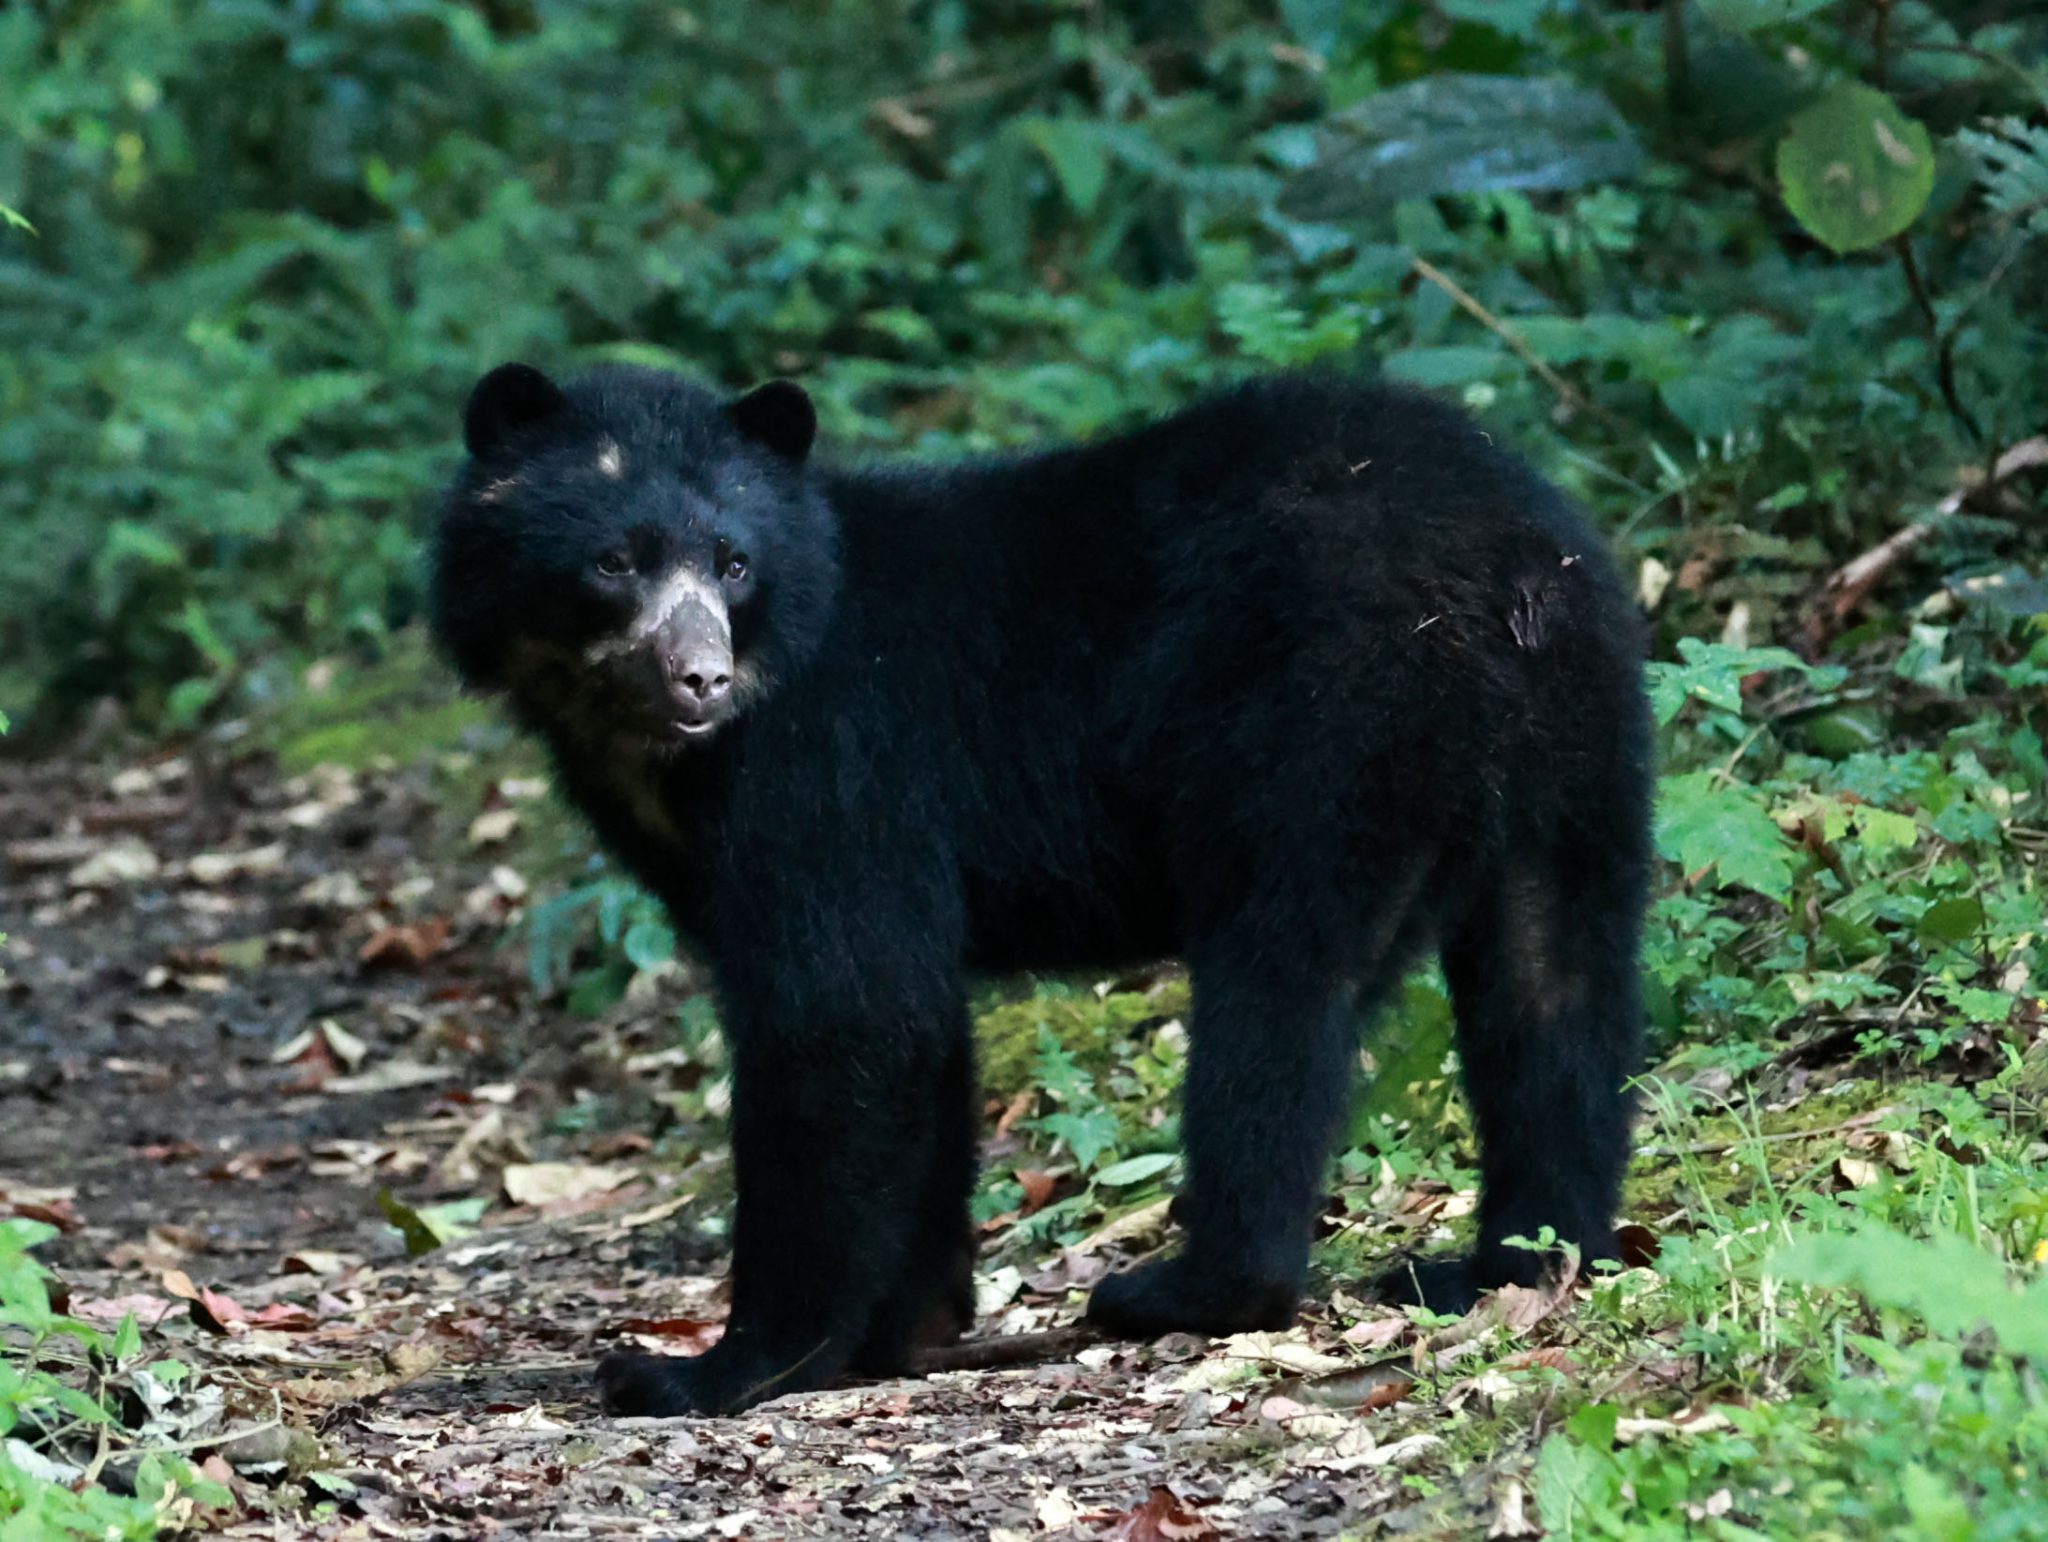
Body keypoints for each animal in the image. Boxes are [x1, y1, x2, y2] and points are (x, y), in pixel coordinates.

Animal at [432, 360, 1646, 1417]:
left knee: (1278, 995)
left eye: (732, 562)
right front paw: (905, 1325)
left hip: (1324, 728)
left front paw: (718, 1366)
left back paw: (1187, 1288)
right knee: (1556, 985)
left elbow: (841, 1015)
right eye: (614, 561)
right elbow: (918, 1031)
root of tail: (1507, 568)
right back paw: (1512, 1262)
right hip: (1573, 748)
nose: (701, 678)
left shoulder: (829, 769)